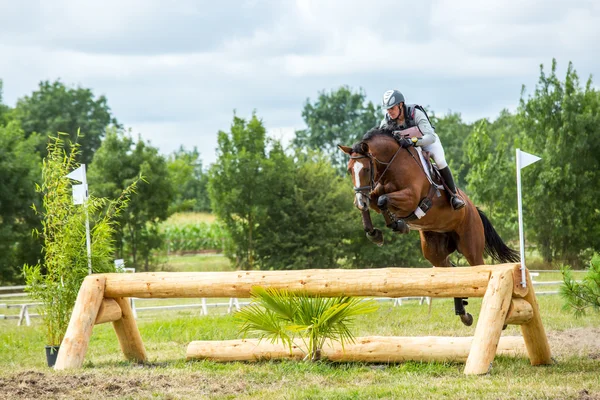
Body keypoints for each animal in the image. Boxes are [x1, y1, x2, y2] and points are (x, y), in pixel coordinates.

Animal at [338, 126, 520, 326]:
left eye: (366, 168)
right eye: (349, 170)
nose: (359, 200)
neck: (391, 164)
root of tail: (473, 208)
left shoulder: (410, 197)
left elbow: (383, 199)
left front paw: (397, 224)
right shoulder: (374, 193)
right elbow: (375, 202)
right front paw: (377, 232)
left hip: (471, 246)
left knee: (477, 269)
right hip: (434, 250)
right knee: (450, 271)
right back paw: (463, 313)